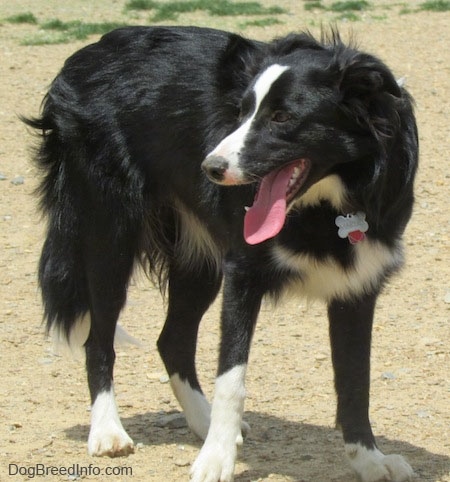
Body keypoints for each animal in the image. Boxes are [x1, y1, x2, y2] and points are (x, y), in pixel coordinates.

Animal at [25, 26, 418, 482]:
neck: (331, 203)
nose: (209, 168)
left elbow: (356, 382)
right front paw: (216, 459)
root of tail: (83, 55)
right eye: (241, 111)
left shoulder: (356, 286)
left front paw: (369, 460)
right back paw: (108, 431)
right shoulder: (243, 272)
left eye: (282, 118)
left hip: (197, 260)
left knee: (172, 340)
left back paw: (201, 420)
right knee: (99, 337)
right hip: (109, 235)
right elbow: (232, 379)